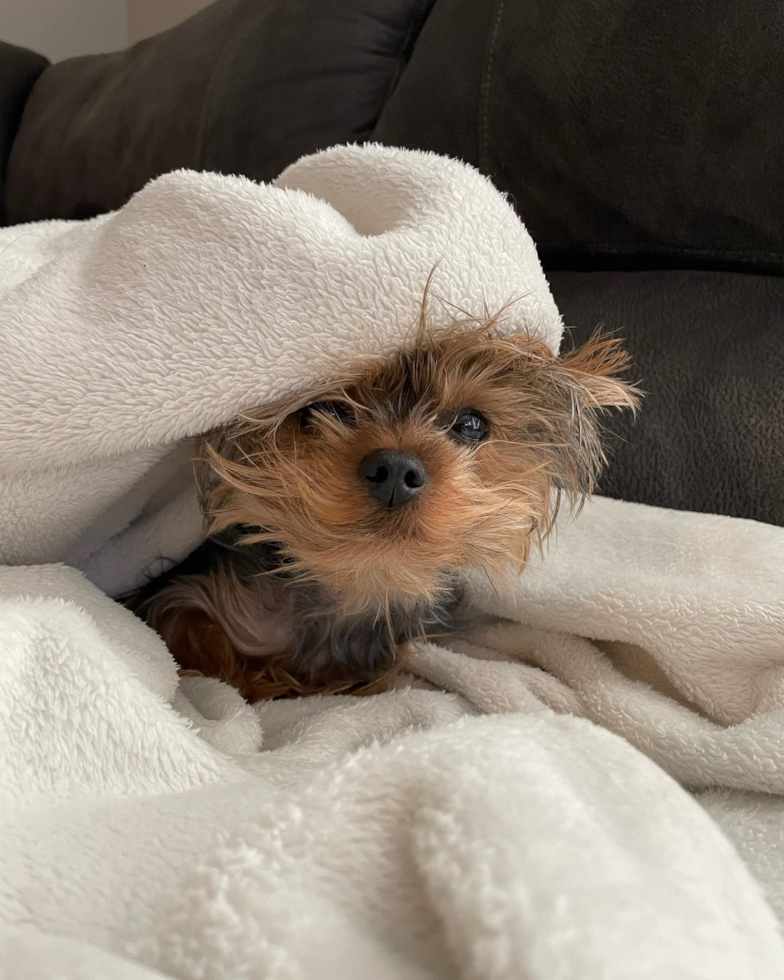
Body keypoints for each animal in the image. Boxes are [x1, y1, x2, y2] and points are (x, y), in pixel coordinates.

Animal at [129, 310, 640, 700]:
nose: (395, 469)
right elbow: (198, 635)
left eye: (471, 424)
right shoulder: (196, 596)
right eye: (323, 410)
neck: (357, 585)